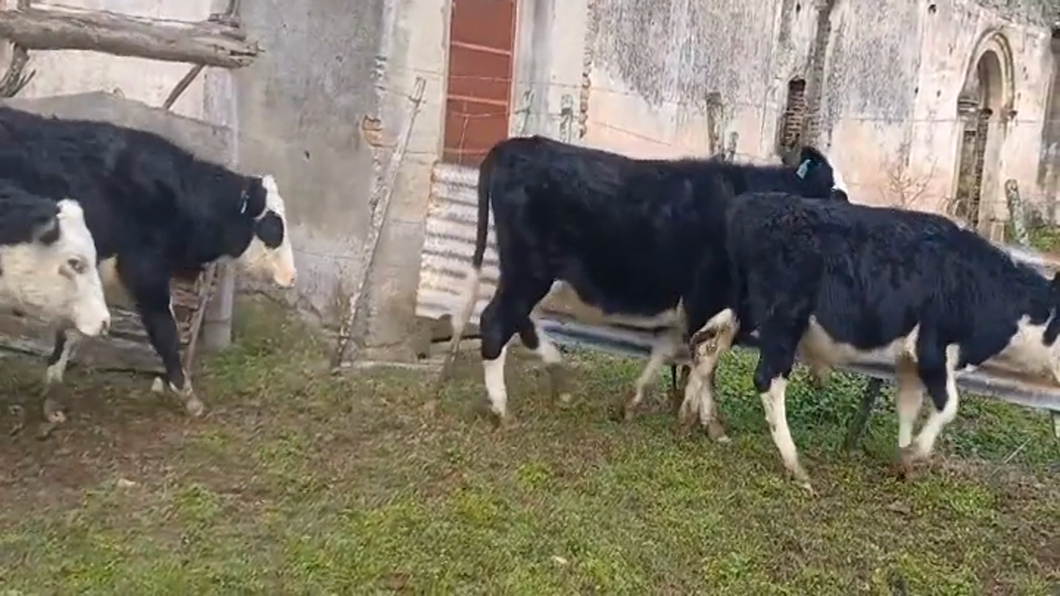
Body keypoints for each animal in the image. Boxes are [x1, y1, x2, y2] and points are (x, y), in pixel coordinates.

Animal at [678, 190, 1060, 492]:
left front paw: (903, 461)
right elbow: (948, 405)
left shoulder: (909, 358)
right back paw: (795, 466)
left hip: (741, 311)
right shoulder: (932, 347)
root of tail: (750, 205)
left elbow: (908, 405)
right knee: (767, 379)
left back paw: (702, 422)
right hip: (784, 321)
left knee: (706, 348)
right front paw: (916, 452)